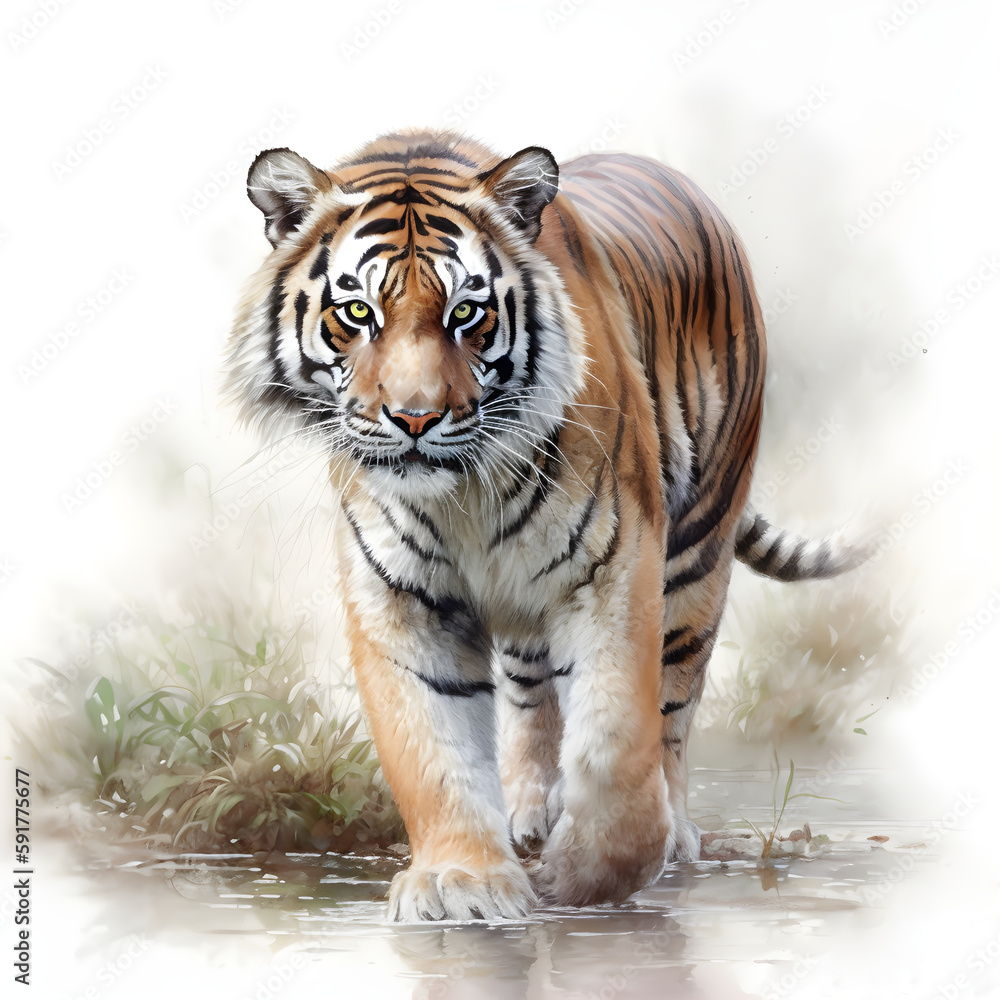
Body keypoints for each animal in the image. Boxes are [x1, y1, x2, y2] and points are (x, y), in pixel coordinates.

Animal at [224, 129, 865, 921]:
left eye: (466, 314)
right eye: (359, 314)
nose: (414, 418)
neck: (464, 493)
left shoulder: (617, 571)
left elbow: (618, 743)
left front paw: (587, 879)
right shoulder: (402, 600)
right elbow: (430, 747)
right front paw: (461, 880)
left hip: (697, 553)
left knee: (673, 710)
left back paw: (674, 833)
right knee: (532, 701)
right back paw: (529, 811)